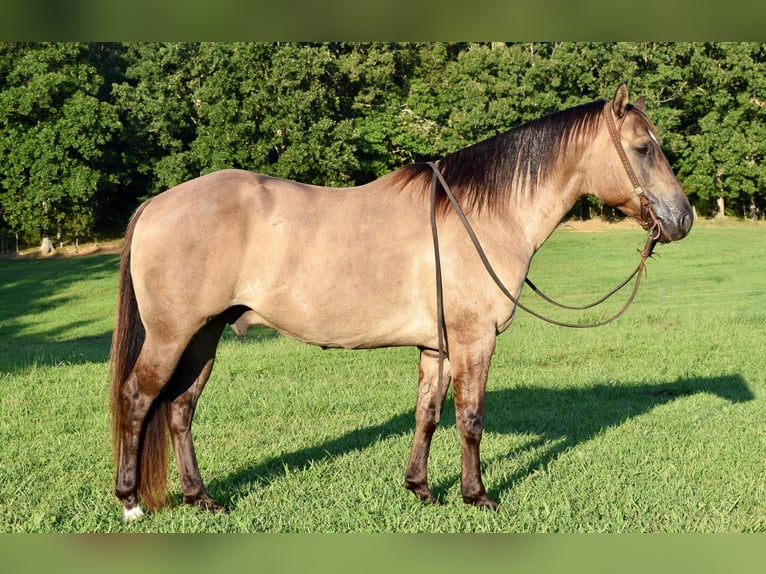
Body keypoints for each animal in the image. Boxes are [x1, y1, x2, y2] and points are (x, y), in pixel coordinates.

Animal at [112, 84, 696, 520]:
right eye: (644, 148)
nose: (683, 218)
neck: (482, 216)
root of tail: (157, 204)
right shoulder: (474, 341)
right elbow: (470, 418)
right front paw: (477, 495)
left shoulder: (437, 348)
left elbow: (428, 415)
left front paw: (420, 488)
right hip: (171, 335)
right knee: (139, 399)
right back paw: (130, 501)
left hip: (204, 334)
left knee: (180, 408)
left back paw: (201, 498)